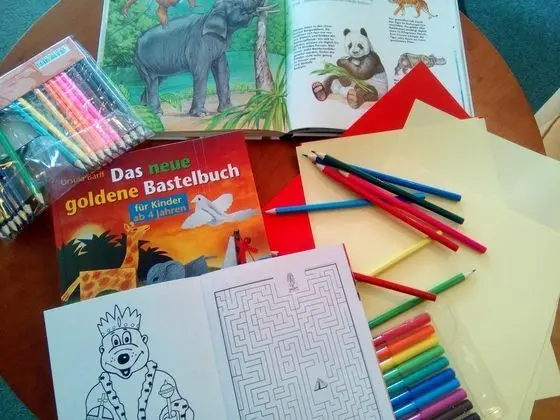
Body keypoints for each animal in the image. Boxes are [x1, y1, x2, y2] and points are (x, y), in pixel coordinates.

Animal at [134, 0, 266, 117]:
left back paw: (144, 108)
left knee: (156, 80)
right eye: (236, 4)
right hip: (143, 62)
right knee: (152, 81)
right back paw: (156, 114)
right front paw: (201, 114)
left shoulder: (218, 48)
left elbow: (222, 71)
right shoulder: (199, 44)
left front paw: (229, 110)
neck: (209, 14)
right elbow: (201, 72)